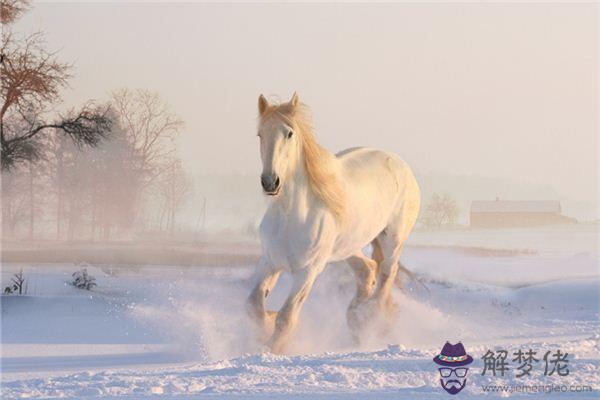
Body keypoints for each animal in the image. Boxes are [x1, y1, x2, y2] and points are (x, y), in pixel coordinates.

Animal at [246, 94, 420, 354]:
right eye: (260, 134)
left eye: (289, 133)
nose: (270, 182)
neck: (290, 217)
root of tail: (401, 164)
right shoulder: (270, 261)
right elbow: (254, 305)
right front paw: (266, 325)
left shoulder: (308, 271)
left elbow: (286, 318)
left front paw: (273, 349)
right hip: (347, 247)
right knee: (367, 269)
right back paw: (356, 318)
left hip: (392, 240)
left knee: (387, 273)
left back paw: (370, 319)